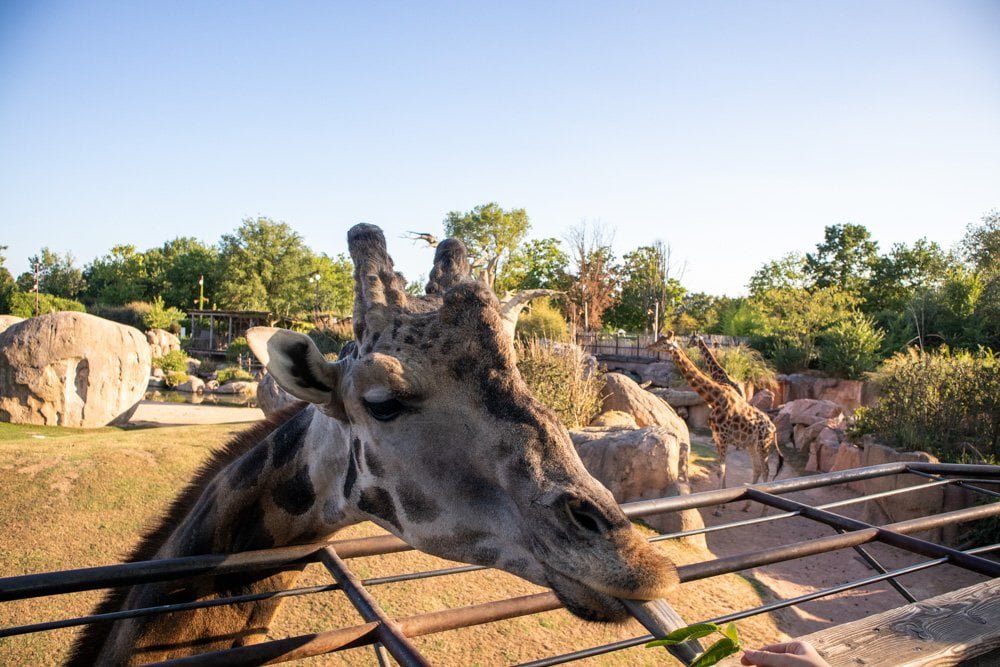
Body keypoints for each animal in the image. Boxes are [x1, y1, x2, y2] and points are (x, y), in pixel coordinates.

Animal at [650, 332, 783, 515]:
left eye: (664, 342)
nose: (649, 347)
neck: (715, 397)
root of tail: (774, 429)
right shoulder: (718, 437)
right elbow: (722, 469)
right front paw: (722, 500)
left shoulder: (723, 436)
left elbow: (722, 468)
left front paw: (719, 507)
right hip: (752, 444)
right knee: (757, 468)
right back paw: (746, 506)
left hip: (764, 444)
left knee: (766, 470)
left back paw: (764, 511)